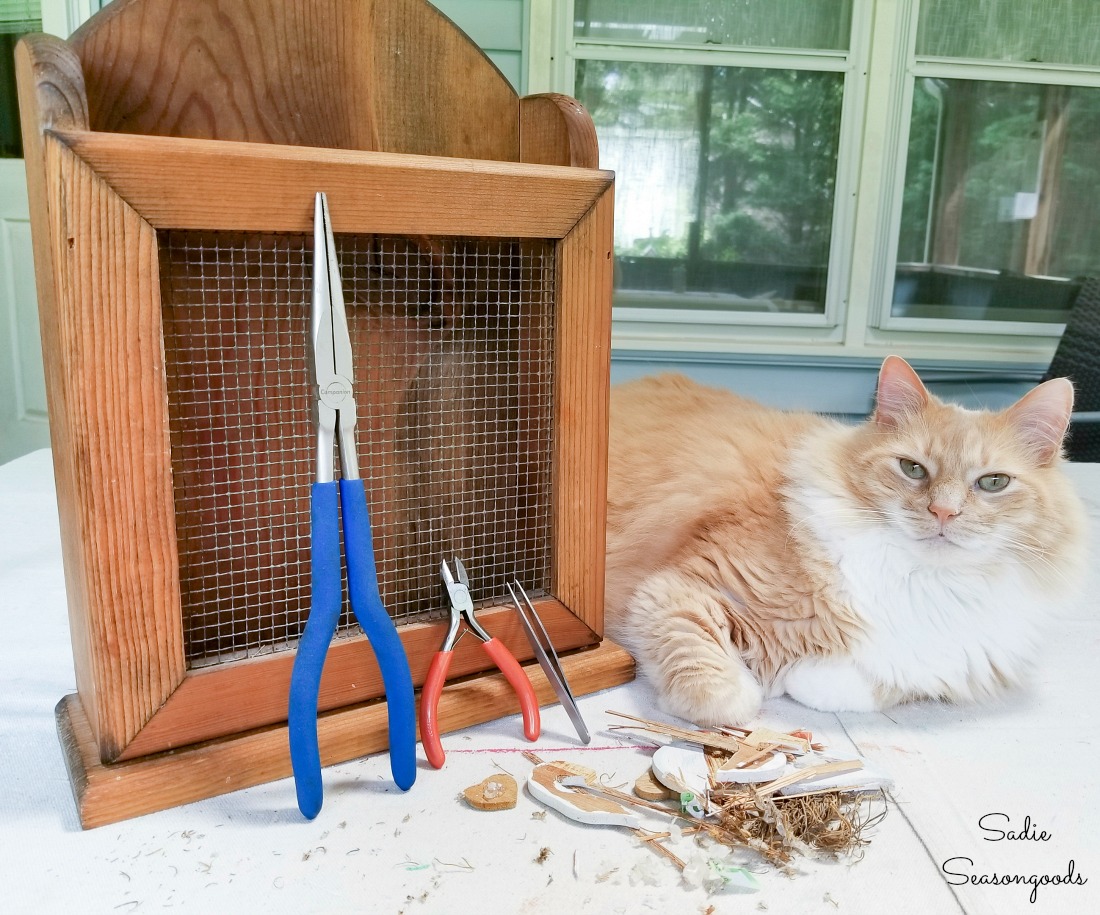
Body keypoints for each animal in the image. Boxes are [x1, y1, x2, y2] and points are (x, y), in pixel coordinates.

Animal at [607, 356, 1086, 721]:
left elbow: (864, 685)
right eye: (912, 469)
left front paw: (799, 675)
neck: (920, 581)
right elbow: (716, 689)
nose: (944, 512)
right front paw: (751, 686)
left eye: (993, 483)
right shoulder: (679, 590)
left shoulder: (937, 667)